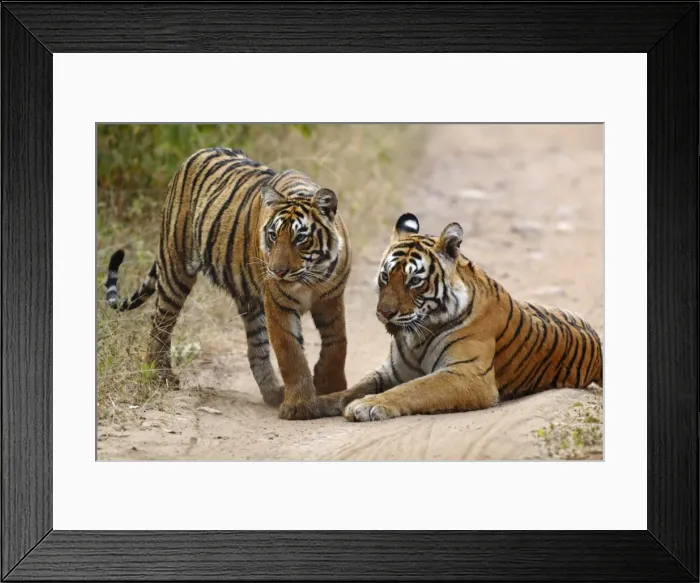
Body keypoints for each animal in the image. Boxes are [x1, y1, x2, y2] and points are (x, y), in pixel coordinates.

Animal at [104, 147, 352, 420]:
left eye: (300, 239)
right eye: (273, 236)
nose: (276, 271)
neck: (311, 275)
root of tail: (196, 153)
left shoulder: (331, 299)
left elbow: (337, 344)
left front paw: (331, 386)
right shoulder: (279, 304)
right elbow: (291, 353)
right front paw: (300, 406)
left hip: (249, 300)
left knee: (256, 348)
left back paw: (273, 392)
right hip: (174, 269)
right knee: (160, 324)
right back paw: (160, 376)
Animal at [317, 212, 602, 422]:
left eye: (414, 281)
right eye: (385, 276)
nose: (384, 313)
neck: (417, 336)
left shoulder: (468, 374)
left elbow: (414, 388)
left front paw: (368, 405)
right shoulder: (391, 370)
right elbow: (353, 388)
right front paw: (319, 403)